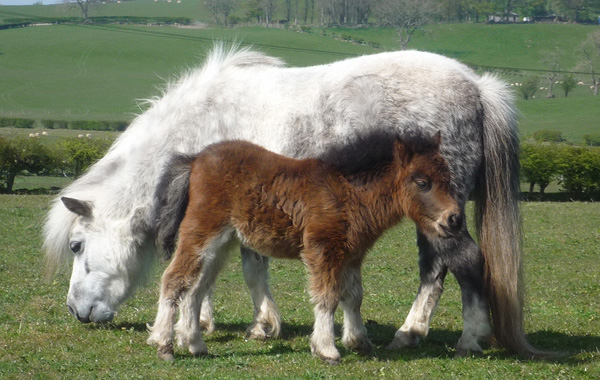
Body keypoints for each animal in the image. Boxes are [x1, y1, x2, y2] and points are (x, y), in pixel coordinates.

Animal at [44, 46, 544, 358]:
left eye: (76, 246)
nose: (76, 313)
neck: (199, 128)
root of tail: (478, 86)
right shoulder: (222, 222)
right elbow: (210, 274)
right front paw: (201, 324)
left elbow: (246, 271)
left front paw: (259, 325)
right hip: (434, 219)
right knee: (435, 272)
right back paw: (410, 333)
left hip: (443, 218)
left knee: (464, 264)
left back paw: (465, 337)